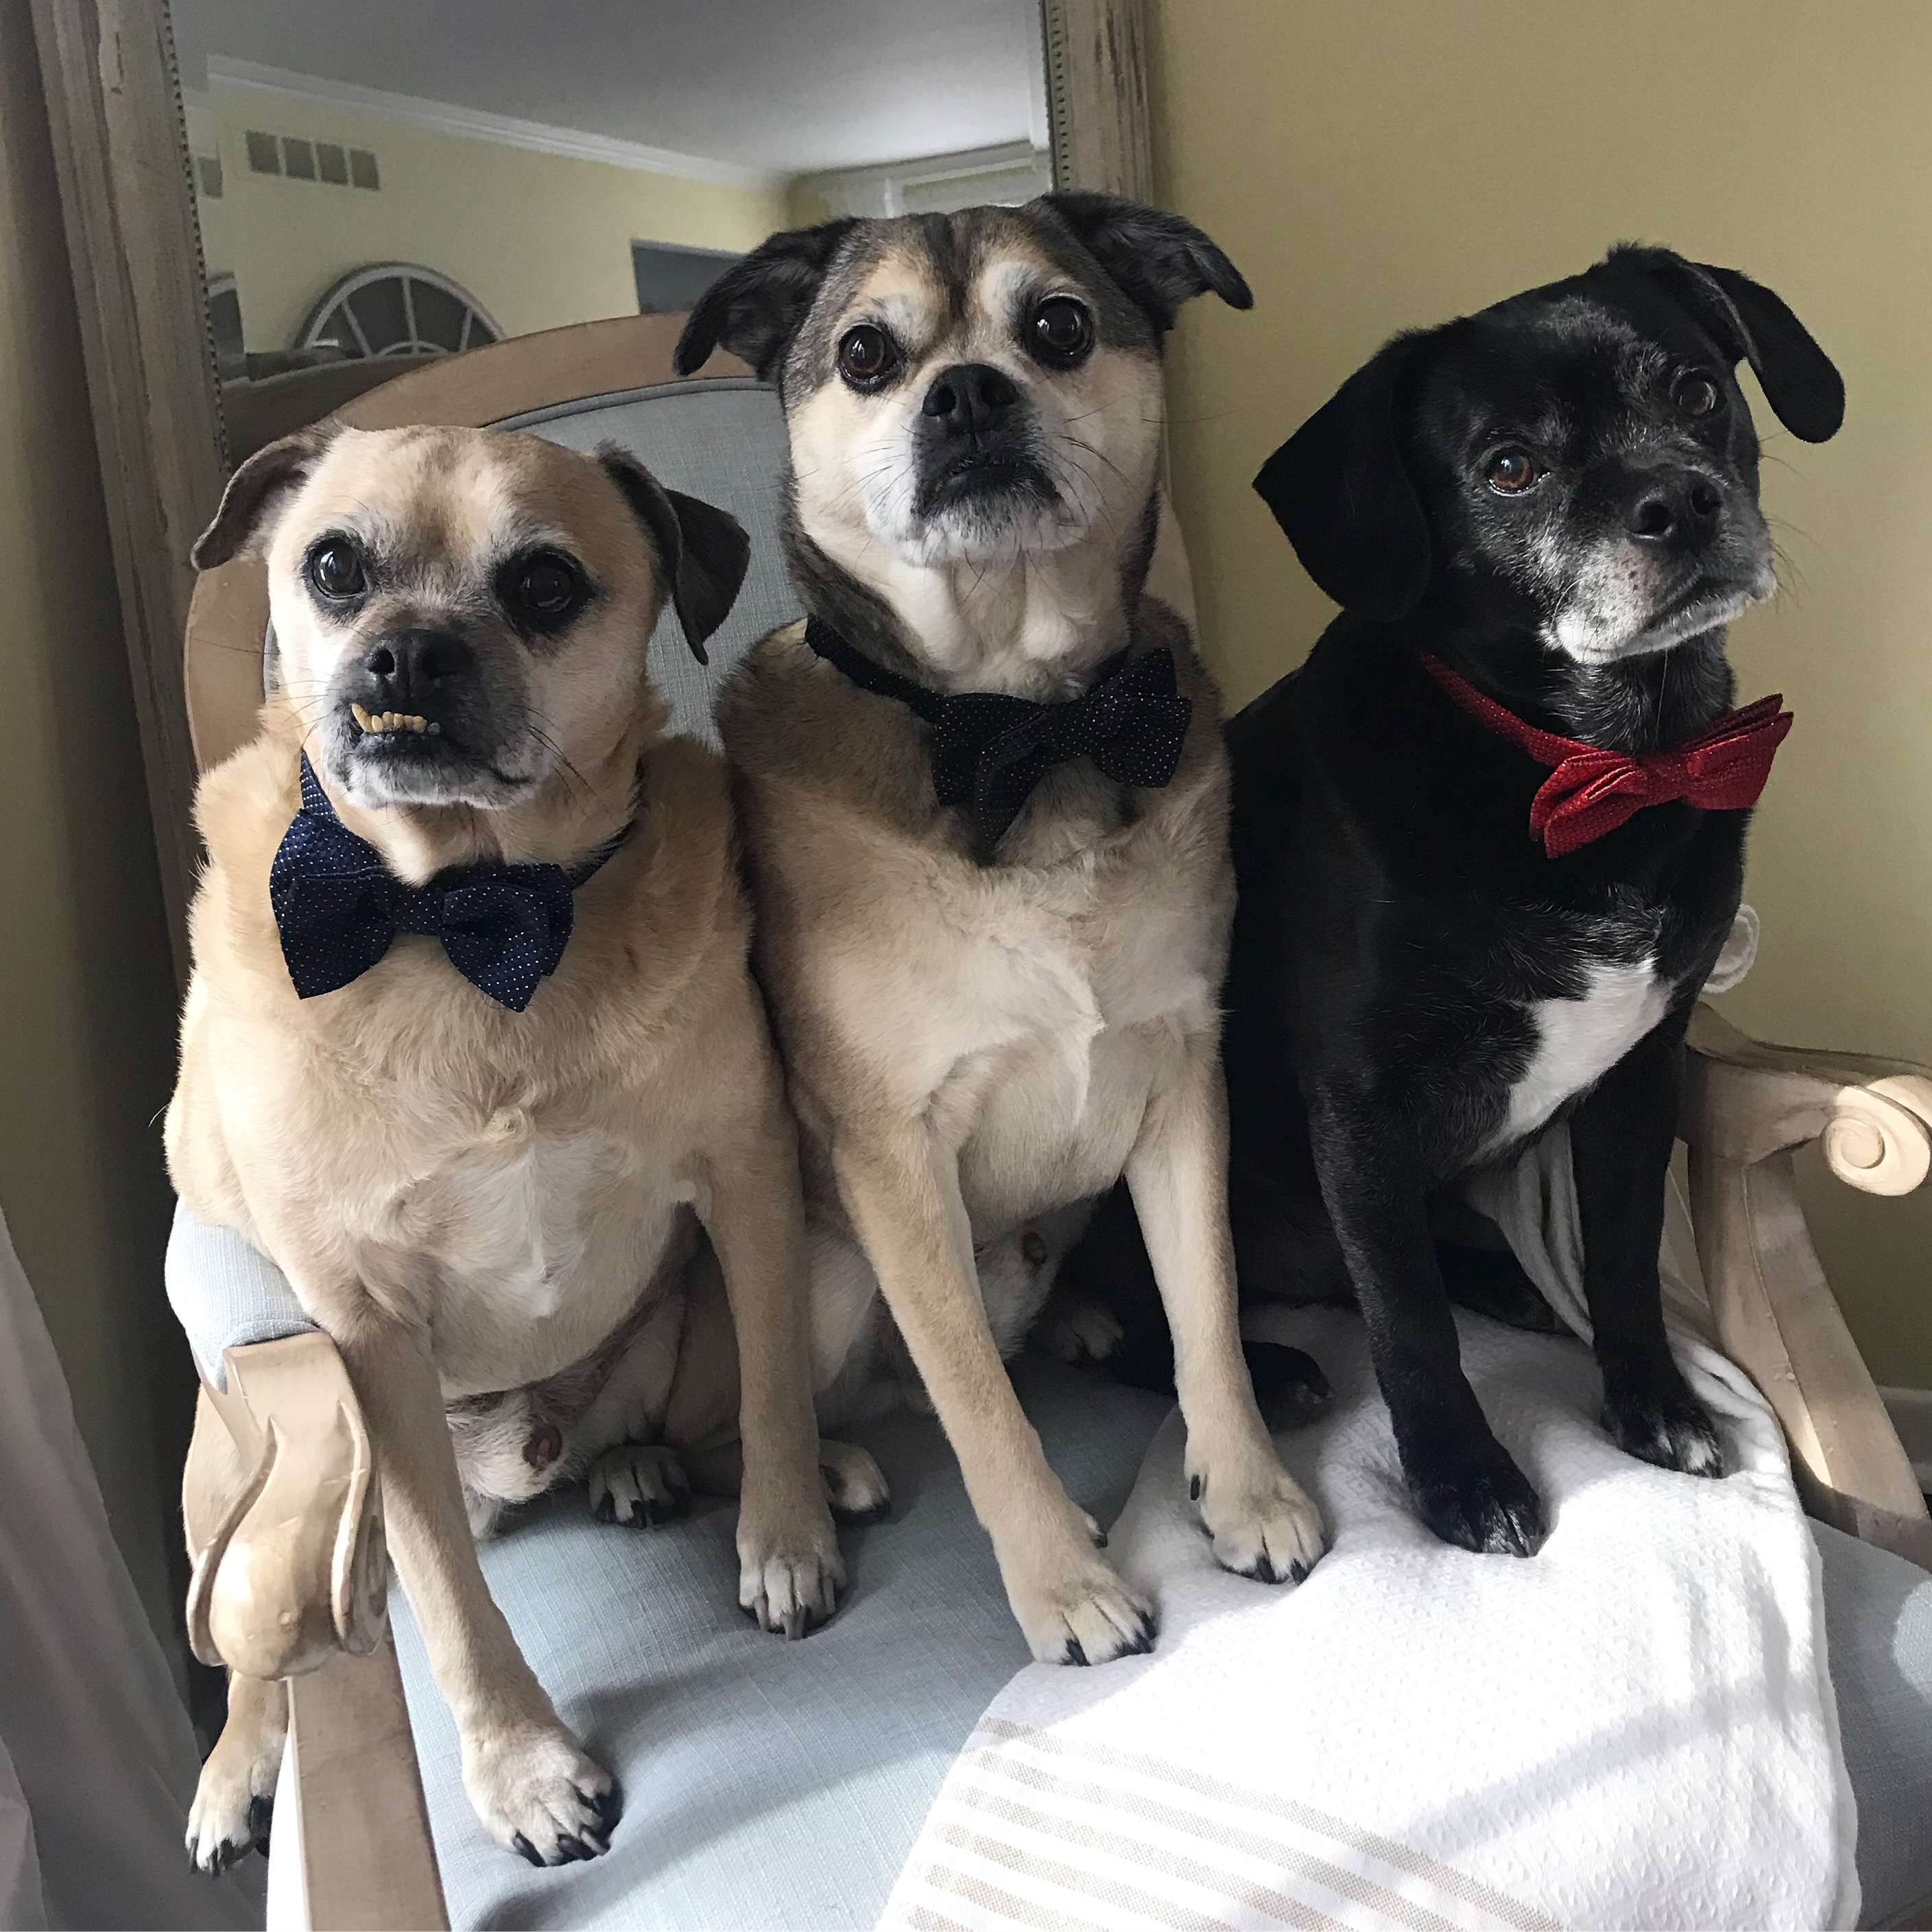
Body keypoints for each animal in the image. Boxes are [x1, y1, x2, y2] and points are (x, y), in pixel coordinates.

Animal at [170, 422, 885, 1871]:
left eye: (545, 586)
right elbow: (446, 1594)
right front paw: (523, 1771)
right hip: (237, 1487)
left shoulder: (745, 1177)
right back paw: (234, 1771)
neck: (465, 918)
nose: (407, 653)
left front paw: (784, 1535)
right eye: (333, 567)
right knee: (262, 1656)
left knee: (712, 1414)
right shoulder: (368, 1339)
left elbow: (776, 1392)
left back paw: (666, 1468)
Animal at [670, 193, 1327, 1668]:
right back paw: (807, 1497)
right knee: (777, 1409)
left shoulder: (1180, 1087)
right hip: (817, 1276)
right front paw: (1064, 1585)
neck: (1022, 725)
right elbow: (977, 1402)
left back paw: (1076, 1318)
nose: (968, 393)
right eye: (865, 355)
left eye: (1059, 326)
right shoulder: (896, 1150)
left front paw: (1247, 1491)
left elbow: (1207, 1316)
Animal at [1206, 246, 1843, 1555]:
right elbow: (1406, 1324)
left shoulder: (1641, 1077)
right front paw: (1462, 1477)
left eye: (1697, 390)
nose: (1678, 503)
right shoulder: (1360, 1107)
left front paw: (1652, 1402)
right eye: (1509, 467)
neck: (1594, 763)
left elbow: (1620, 1260)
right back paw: (1268, 1365)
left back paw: (1500, 1277)